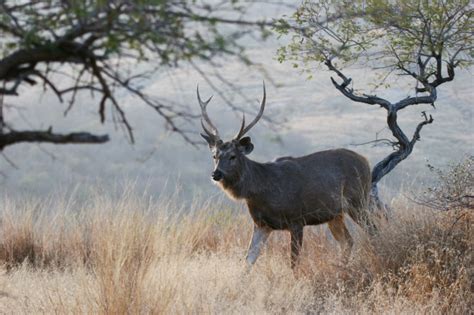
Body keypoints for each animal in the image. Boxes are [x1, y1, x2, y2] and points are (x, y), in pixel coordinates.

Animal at [198, 83, 376, 270]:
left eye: (233, 156)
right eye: (214, 156)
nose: (216, 173)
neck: (261, 191)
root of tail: (366, 162)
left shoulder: (296, 218)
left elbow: (293, 263)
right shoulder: (262, 224)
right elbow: (248, 260)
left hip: (358, 200)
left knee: (373, 232)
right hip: (335, 214)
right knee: (348, 241)